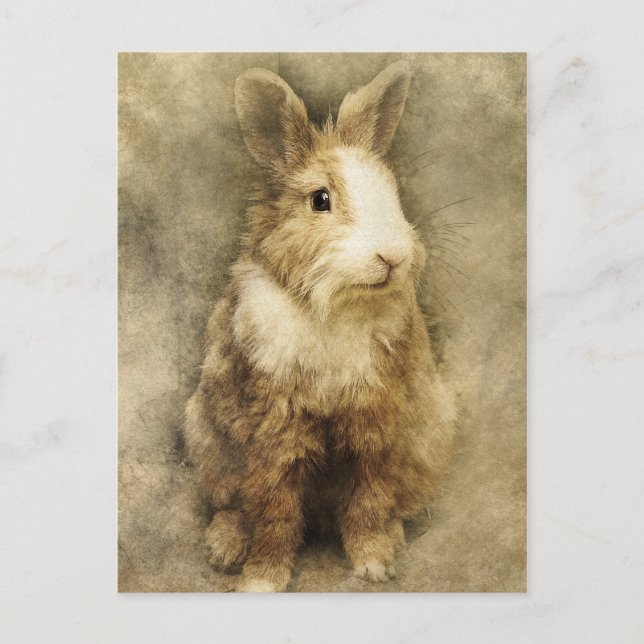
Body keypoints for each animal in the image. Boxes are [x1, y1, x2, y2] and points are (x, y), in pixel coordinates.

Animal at [183, 60, 456, 592]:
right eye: (320, 200)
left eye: (392, 193)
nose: (393, 255)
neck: (334, 307)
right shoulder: (274, 428)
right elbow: (274, 510)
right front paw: (261, 580)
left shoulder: (377, 423)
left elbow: (370, 499)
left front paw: (373, 563)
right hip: (208, 441)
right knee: (233, 505)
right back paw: (224, 548)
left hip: (428, 438)